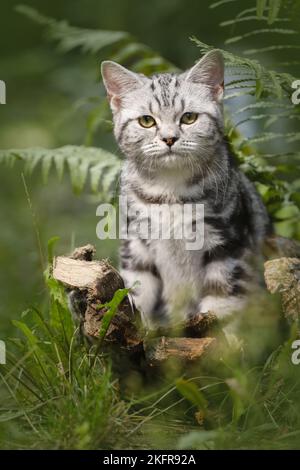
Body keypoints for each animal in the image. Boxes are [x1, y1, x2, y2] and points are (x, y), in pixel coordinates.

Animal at [101, 49, 272, 328]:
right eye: (146, 121)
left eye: (189, 117)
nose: (169, 138)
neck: (169, 190)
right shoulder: (137, 246)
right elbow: (136, 290)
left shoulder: (228, 243)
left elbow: (222, 300)